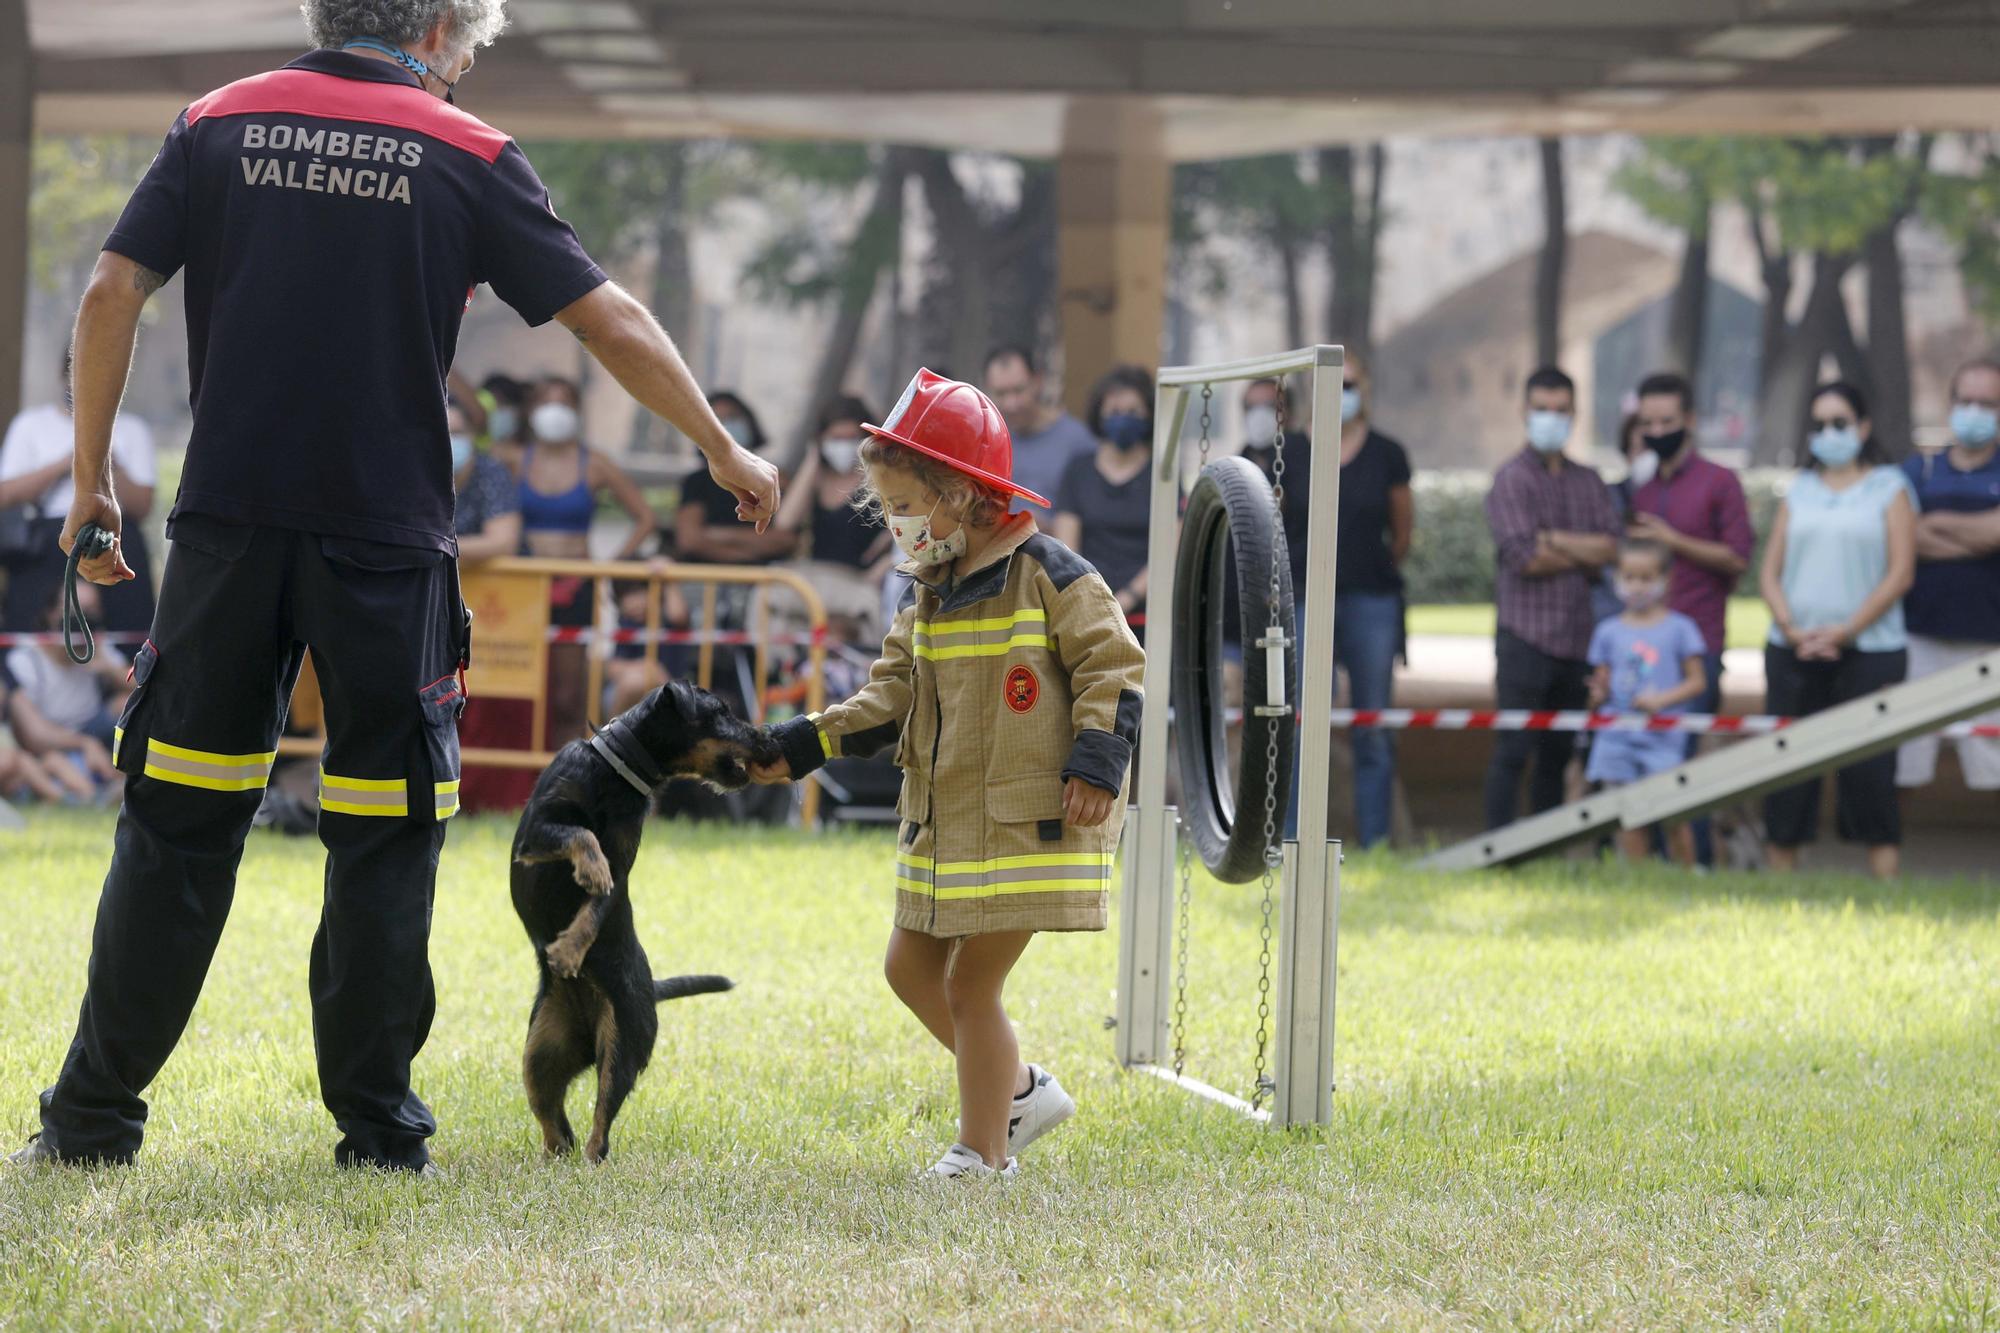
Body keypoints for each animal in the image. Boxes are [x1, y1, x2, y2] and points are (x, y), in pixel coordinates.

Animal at [508, 680, 780, 1160]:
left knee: (598, 1129)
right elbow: (581, 834)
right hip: (540, 1055)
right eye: (721, 711)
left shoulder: (620, 861)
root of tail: (652, 990)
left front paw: (571, 948)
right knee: (555, 1123)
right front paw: (588, 875)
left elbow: (599, 899)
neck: (615, 773)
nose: (768, 736)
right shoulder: (538, 829)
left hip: (622, 1044)